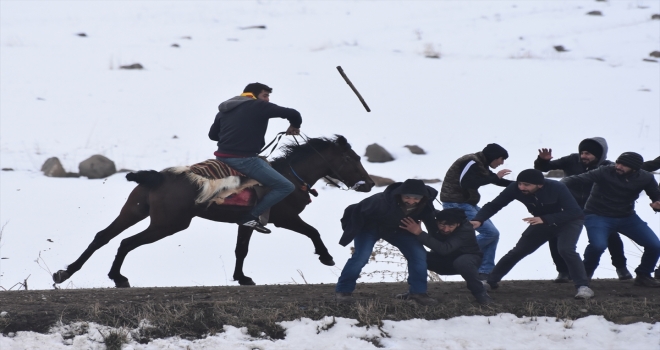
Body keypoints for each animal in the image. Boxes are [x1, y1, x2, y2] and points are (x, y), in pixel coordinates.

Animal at [50, 135, 376, 288]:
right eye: (351, 158)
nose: (369, 183)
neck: (291, 175)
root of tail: (155, 176)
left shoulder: (246, 223)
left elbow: (241, 250)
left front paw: (242, 277)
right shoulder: (285, 218)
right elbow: (313, 231)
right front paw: (326, 256)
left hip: (134, 211)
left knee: (103, 236)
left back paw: (65, 272)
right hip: (167, 224)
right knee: (125, 242)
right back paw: (117, 277)